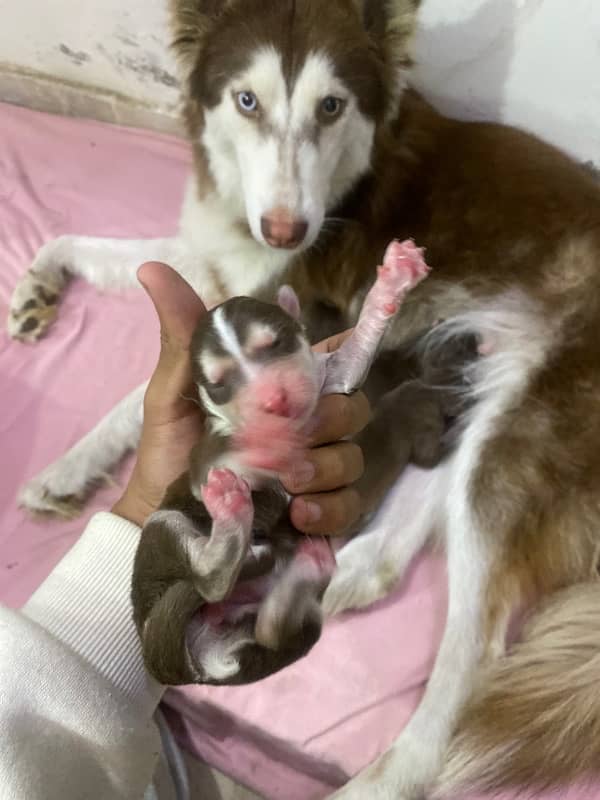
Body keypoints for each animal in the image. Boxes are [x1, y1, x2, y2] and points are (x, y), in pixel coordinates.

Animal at [132, 241, 474, 684]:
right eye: (219, 383)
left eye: (273, 343)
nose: (273, 401)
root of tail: (199, 669)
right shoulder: (205, 460)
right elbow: (226, 463)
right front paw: (266, 442)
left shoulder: (335, 377)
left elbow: (354, 355)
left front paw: (395, 278)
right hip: (166, 535)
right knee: (208, 579)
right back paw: (231, 513)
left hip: (279, 615)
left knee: (271, 627)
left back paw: (307, 568)